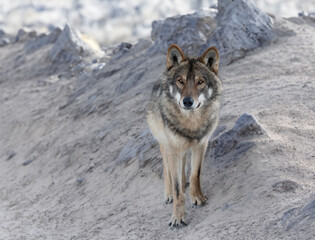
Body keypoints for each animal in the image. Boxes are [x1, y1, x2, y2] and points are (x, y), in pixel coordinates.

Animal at [148, 43, 223, 229]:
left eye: (200, 82)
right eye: (180, 81)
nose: (187, 101)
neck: (191, 123)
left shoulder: (201, 145)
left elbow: (195, 174)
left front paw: (197, 198)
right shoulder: (173, 149)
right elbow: (176, 189)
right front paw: (177, 218)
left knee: (182, 169)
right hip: (165, 145)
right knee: (167, 169)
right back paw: (169, 194)